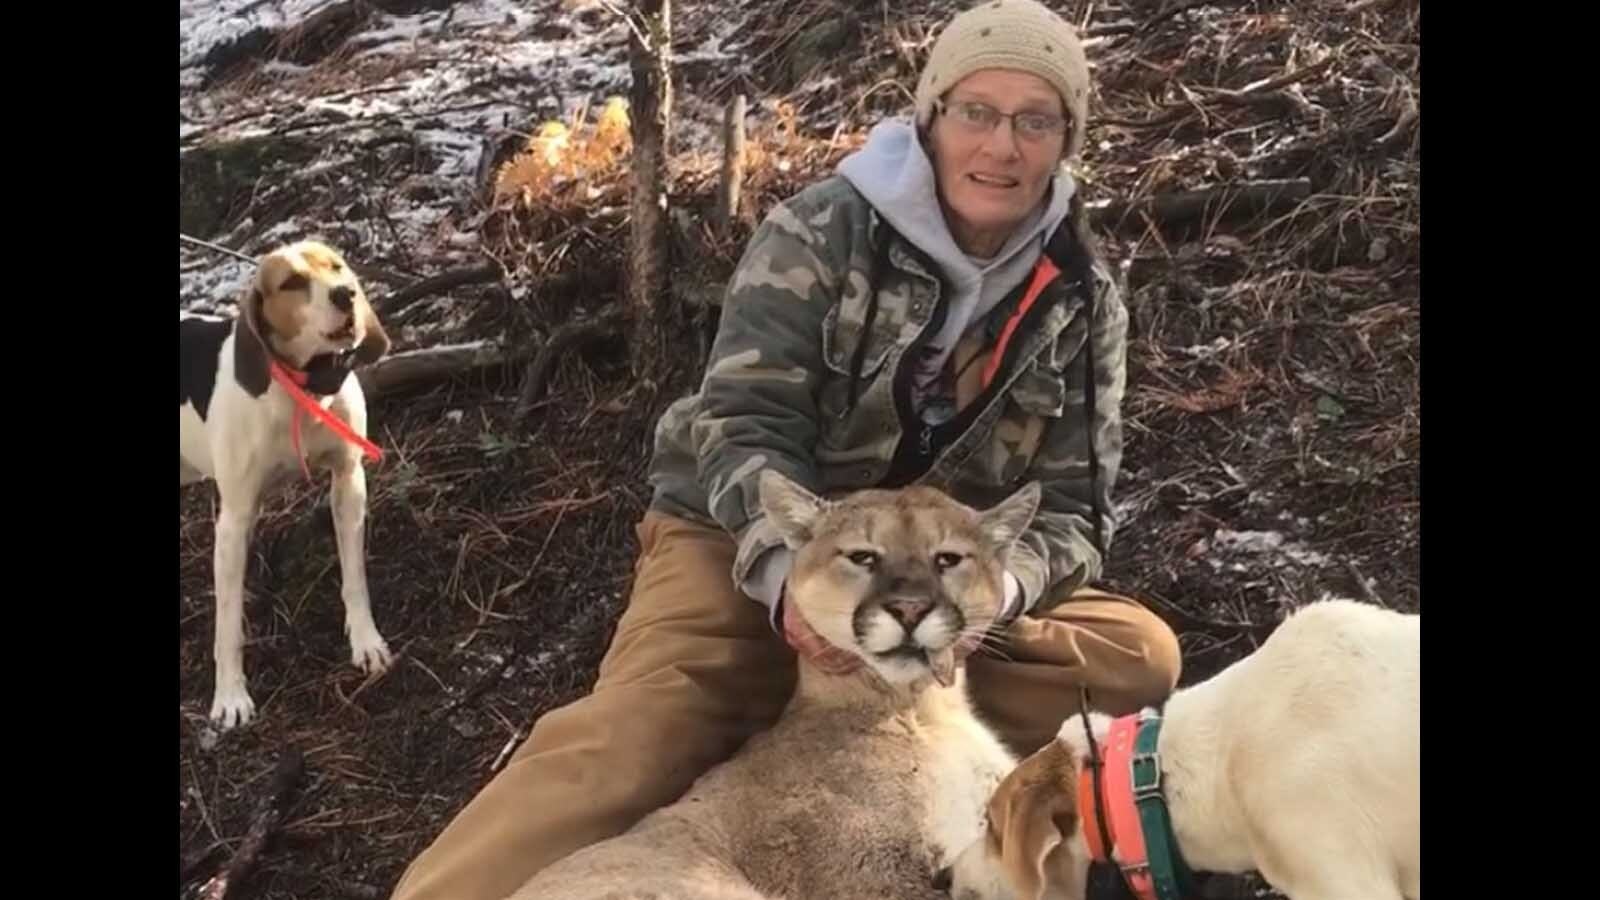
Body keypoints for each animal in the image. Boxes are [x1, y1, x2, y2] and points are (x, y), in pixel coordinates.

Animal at [180, 240, 392, 730]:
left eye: (337, 266)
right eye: (292, 283)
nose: (347, 294)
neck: (302, 388)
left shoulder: (348, 479)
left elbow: (354, 577)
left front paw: (365, 640)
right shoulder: (234, 523)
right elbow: (228, 625)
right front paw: (230, 696)